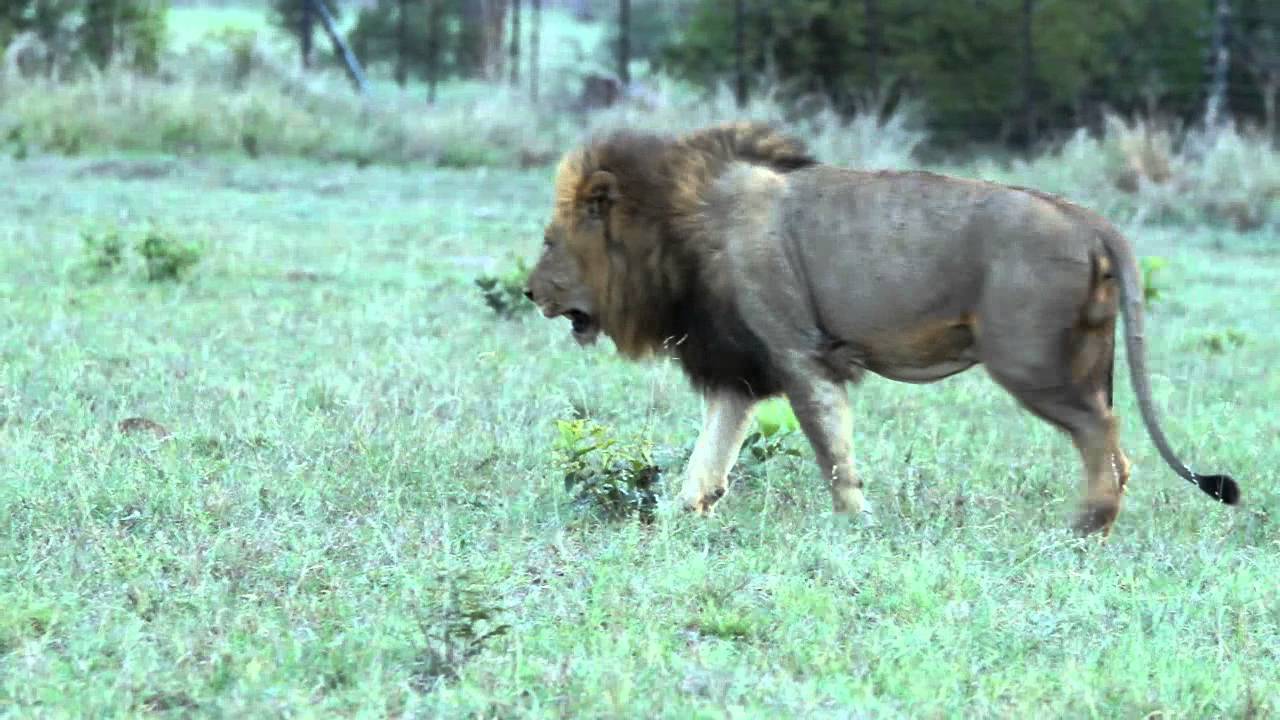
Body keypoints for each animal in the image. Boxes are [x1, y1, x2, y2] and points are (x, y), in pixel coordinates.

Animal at [523, 122, 1240, 535]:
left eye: (549, 240)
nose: (529, 292)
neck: (676, 225)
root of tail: (1090, 217)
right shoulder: (738, 367)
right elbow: (711, 452)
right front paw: (682, 514)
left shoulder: (799, 351)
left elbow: (830, 448)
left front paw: (856, 522)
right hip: (1087, 359)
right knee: (1118, 449)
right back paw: (1099, 521)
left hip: (1031, 362)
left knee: (1101, 431)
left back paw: (1087, 524)